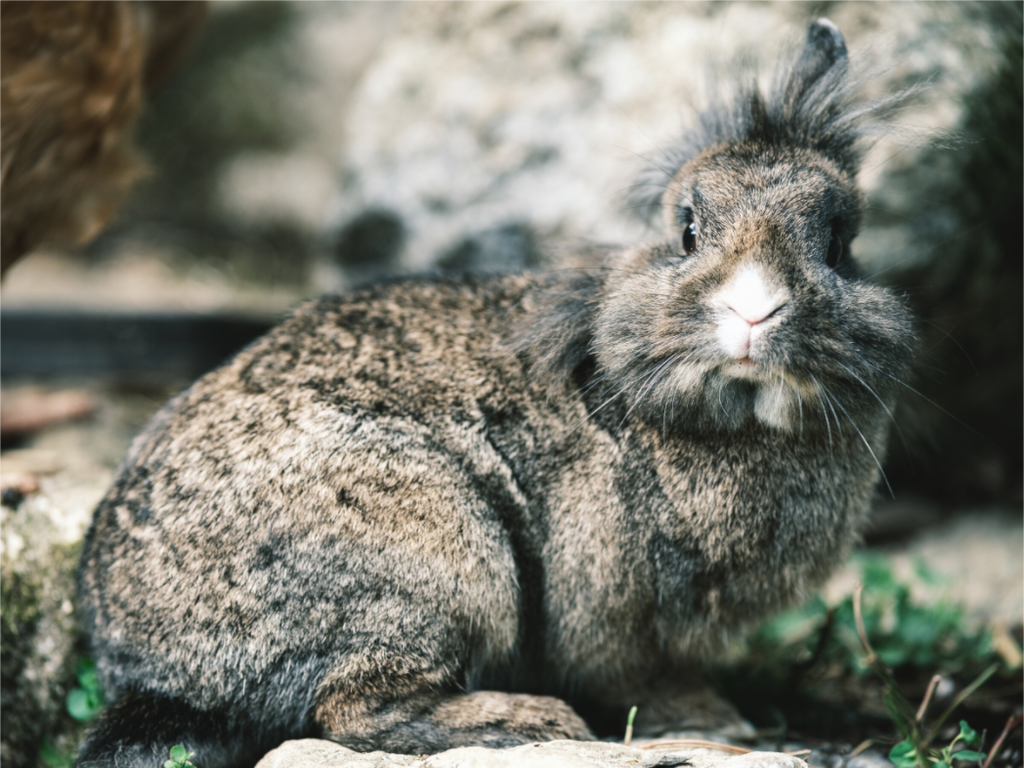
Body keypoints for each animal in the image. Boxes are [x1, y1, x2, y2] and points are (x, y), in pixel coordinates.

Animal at [74, 18, 916, 768]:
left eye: (840, 243)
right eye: (686, 230)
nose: (752, 310)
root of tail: (156, 669)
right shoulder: (614, 609)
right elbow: (644, 676)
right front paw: (717, 721)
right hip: (440, 560)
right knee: (352, 708)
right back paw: (535, 721)